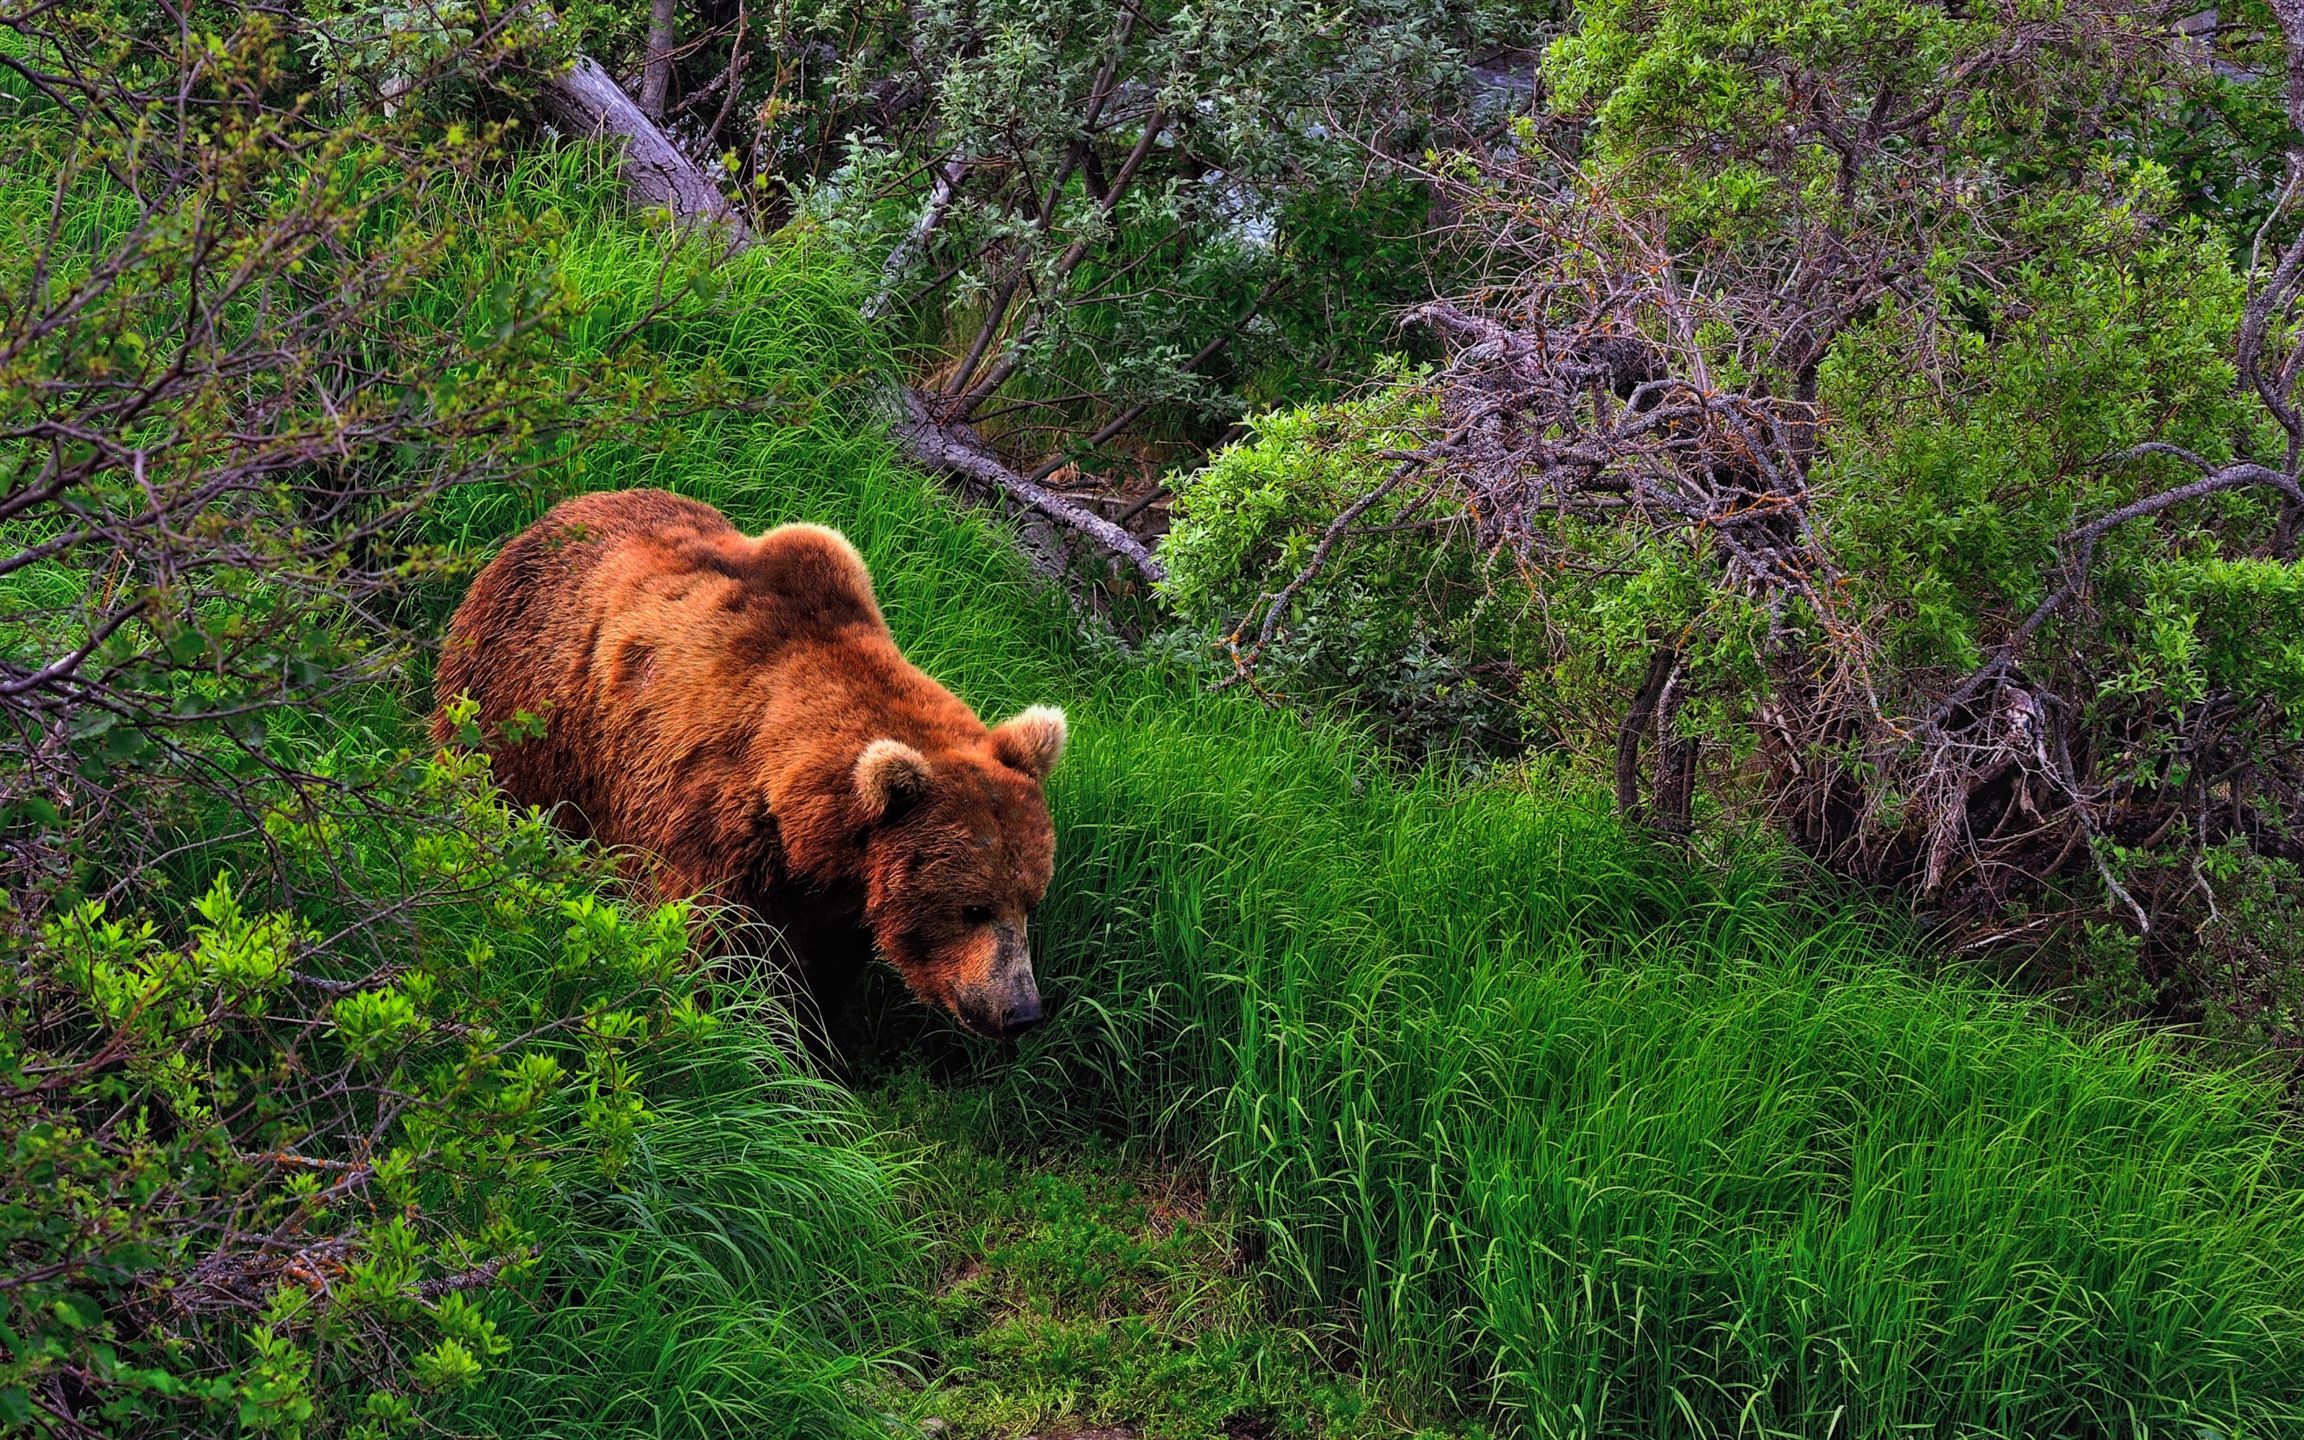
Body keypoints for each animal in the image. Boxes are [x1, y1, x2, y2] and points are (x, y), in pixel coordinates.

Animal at [430, 488, 1059, 1036]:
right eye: (972, 907)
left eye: (1031, 900)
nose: (1021, 1012)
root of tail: (546, 518)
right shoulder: (704, 825)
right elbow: (707, 952)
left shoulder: (835, 888)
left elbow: (827, 969)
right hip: (517, 711)